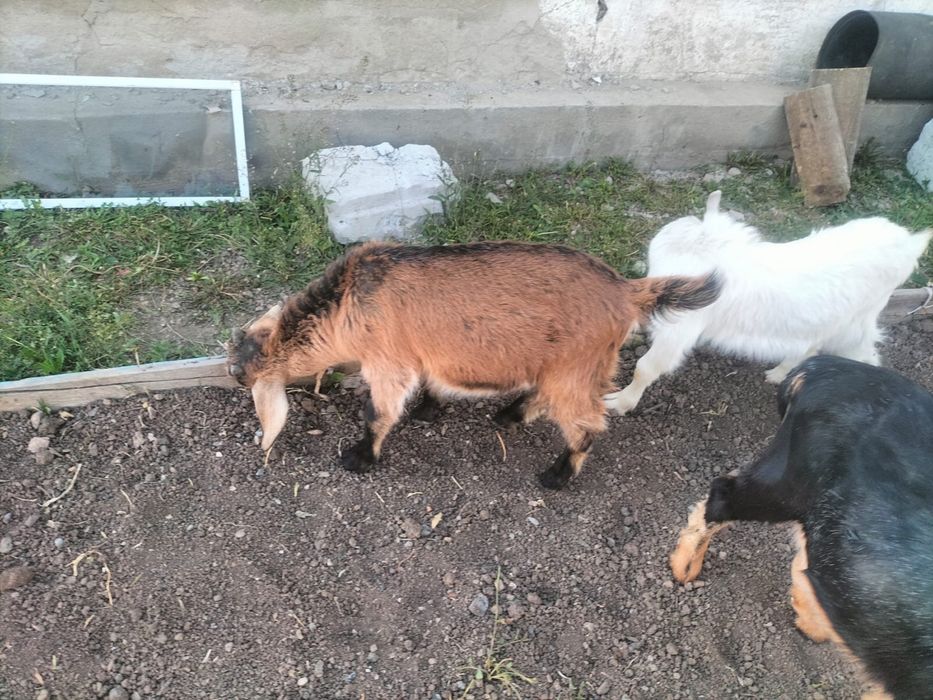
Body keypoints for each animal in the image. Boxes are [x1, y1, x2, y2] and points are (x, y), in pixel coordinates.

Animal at [227, 240, 721, 489]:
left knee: (586, 424)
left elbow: (378, 413)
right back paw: (510, 414)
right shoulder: (422, 358)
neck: (350, 297)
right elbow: (429, 385)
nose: (231, 370)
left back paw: (557, 475)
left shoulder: (388, 361)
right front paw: (428, 410)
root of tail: (626, 290)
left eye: (247, 363)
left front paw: (360, 457)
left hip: (574, 369)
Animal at [604, 190, 931, 416]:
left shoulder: (679, 330)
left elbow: (647, 367)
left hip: (857, 320)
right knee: (811, 346)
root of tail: (911, 243)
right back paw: (779, 374)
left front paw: (620, 402)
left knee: (864, 352)